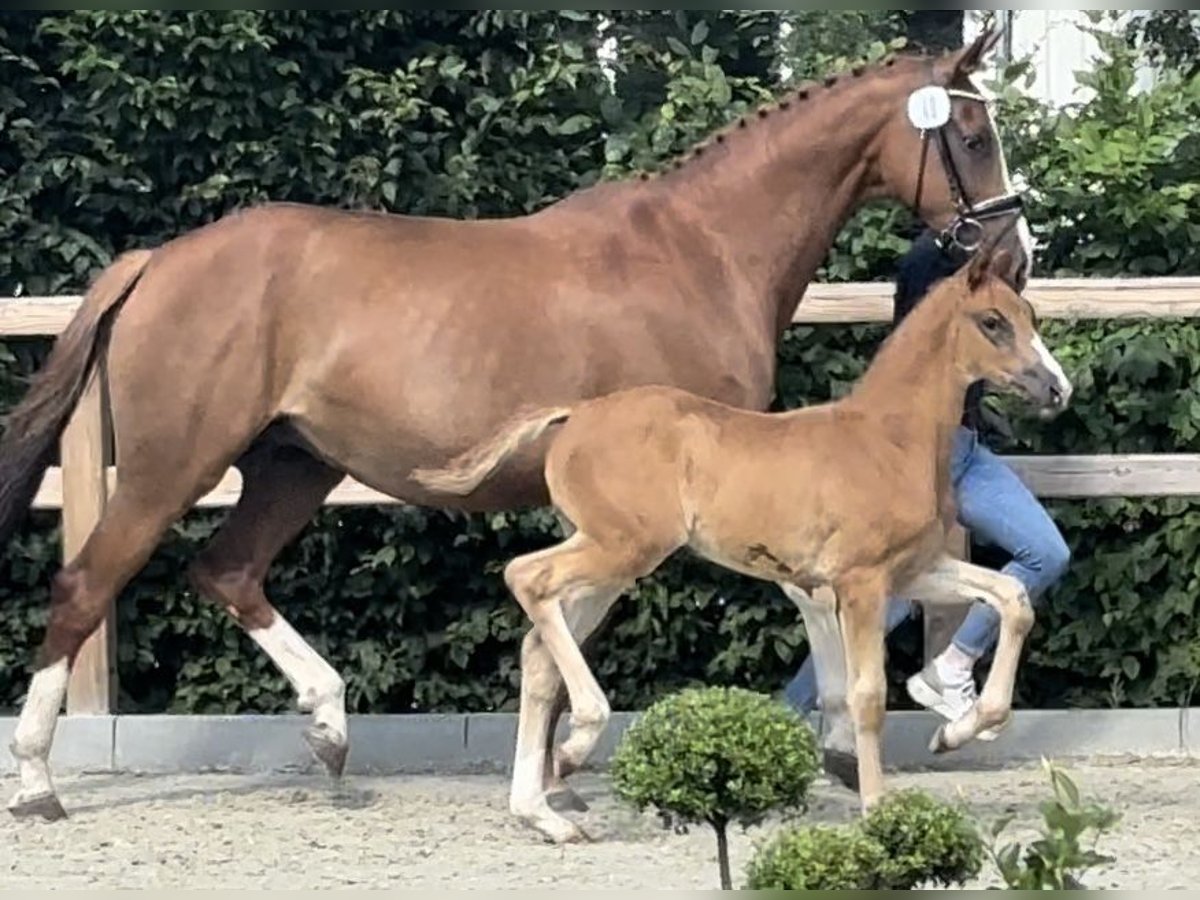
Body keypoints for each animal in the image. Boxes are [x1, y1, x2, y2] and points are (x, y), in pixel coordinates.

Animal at [417, 248, 1075, 844]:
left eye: (1029, 314)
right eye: (992, 322)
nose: (1056, 388)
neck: (888, 440)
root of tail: (575, 415)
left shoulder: (917, 570)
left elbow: (1012, 597)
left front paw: (960, 730)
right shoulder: (860, 582)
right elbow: (867, 695)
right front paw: (878, 811)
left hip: (610, 560)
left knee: (537, 650)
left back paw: (545, 815)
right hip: (622, 546)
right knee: (525, 577)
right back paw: (580, 739)